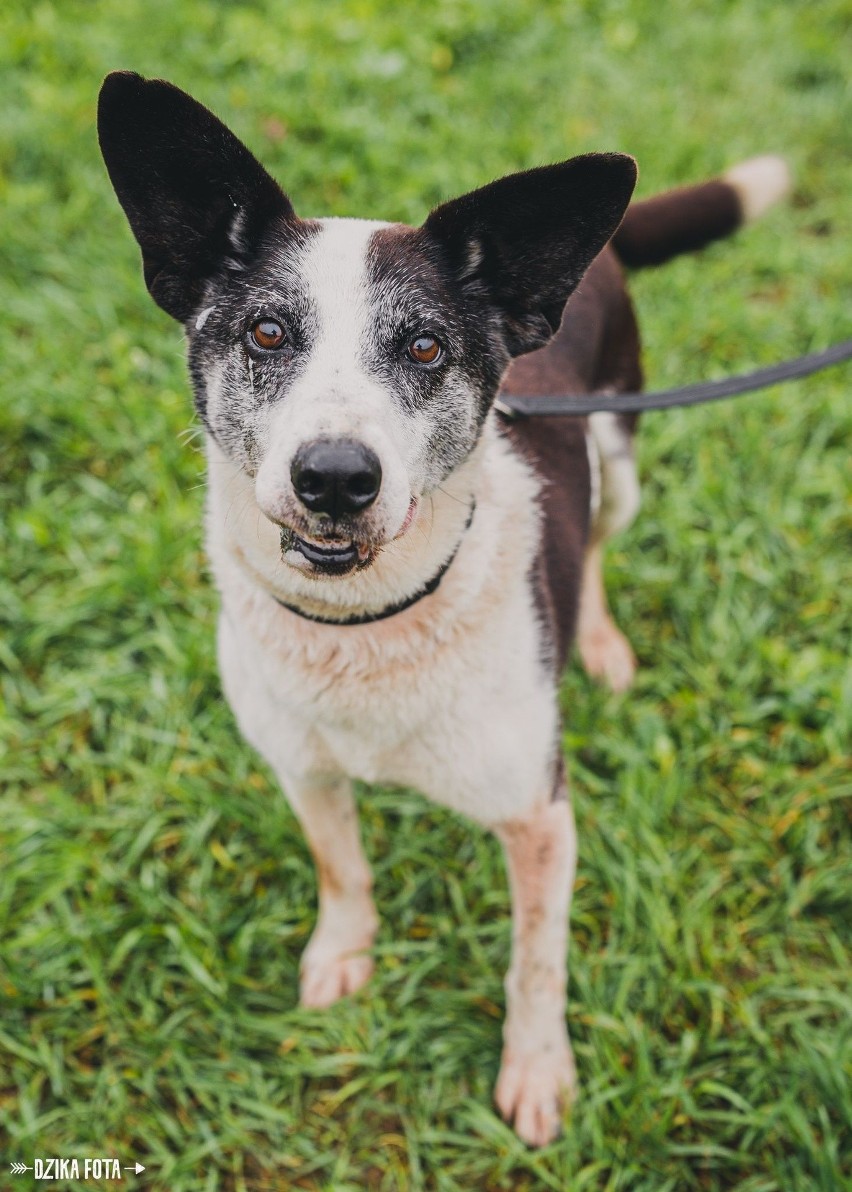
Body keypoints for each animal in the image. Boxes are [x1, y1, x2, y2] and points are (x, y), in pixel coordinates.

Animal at [96, 72, 791, 1144]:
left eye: (424, 346)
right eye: (266, 333)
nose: (336, 478)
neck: (369, 627)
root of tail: (591, 259)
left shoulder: (541, 817)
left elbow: (536, 963)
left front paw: (537, 1071)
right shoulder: (301, 766)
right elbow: (342, 869)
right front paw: (344, 954)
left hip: (623, 454)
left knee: (599, 544)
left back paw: (600, 643)